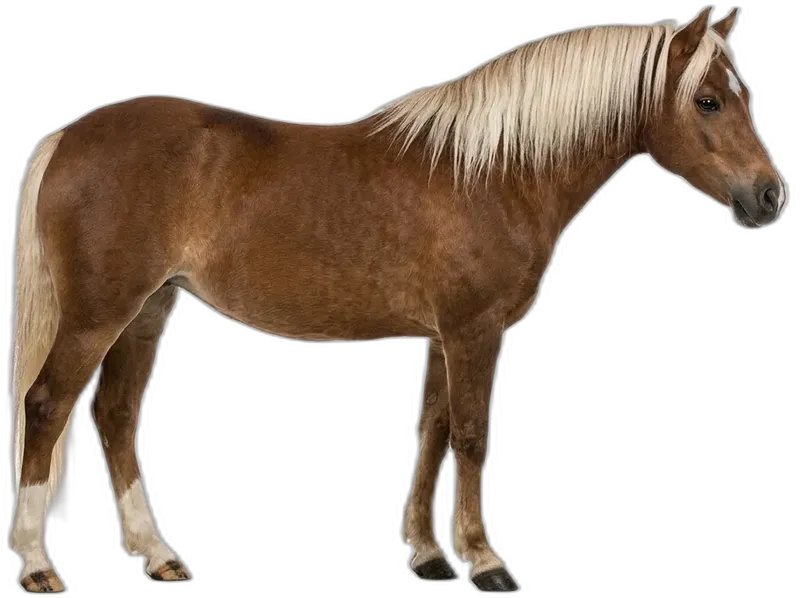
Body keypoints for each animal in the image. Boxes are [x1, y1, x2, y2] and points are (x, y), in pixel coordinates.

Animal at [9, 6, 788, 593]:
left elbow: (431, 430)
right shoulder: (474, 332)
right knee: (47, 406)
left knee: (115, 415)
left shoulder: (443, 335)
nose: (771, 197)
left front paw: (429, 554)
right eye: (708, 100)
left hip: (148, 310)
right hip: (98, 315)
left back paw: (159, 555)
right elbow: (471, 435)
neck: (493, 170)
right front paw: (484, 559)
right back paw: (37, 564)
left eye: (745, 95)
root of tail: (67, 137)